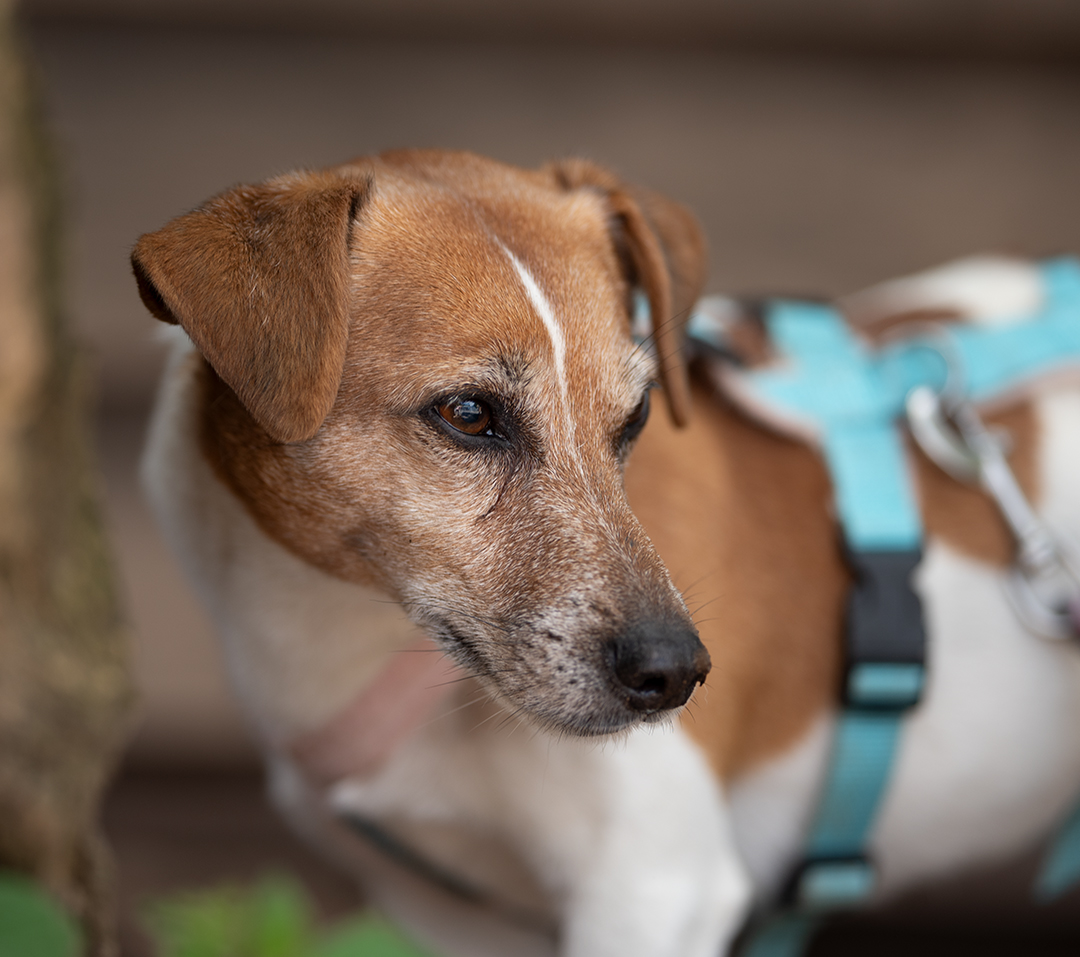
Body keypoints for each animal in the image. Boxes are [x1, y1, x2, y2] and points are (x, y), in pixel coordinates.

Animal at [133, 150, 1080, 957]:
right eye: (468, 414)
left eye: (637, 417)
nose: (677, 673)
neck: (357, 631)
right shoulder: (453, 917)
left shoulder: (653, 889)